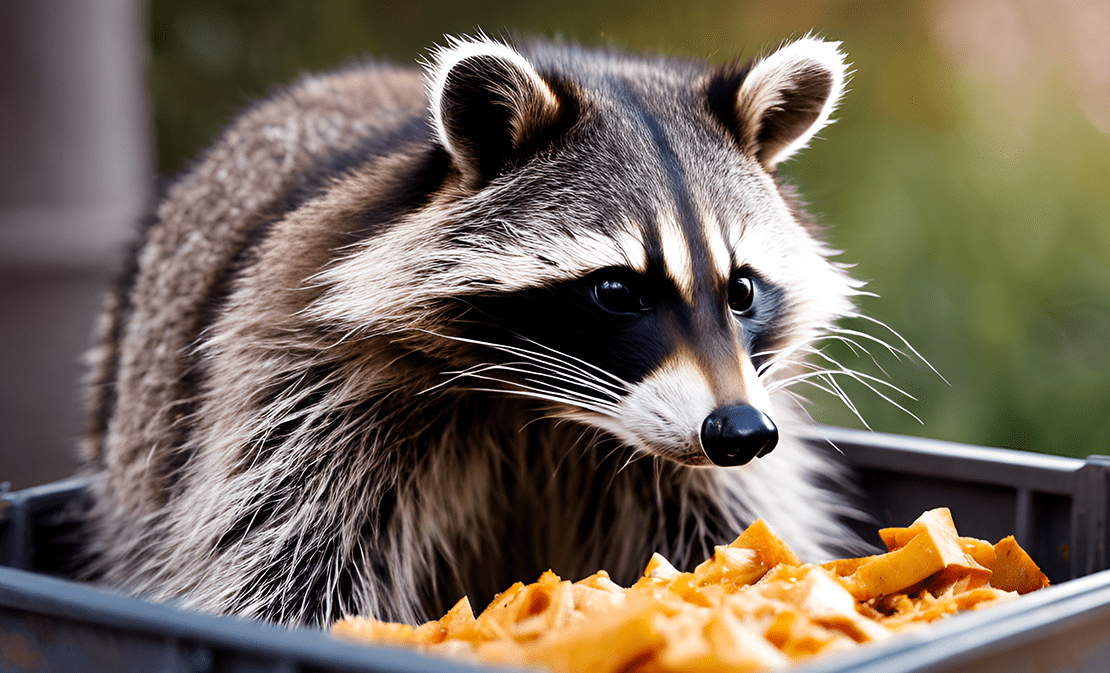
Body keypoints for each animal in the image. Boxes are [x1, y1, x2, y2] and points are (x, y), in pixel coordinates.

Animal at [82, 35, 870, 626]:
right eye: (617, 291)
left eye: (742, 290)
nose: (739, 433)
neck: (545, 406)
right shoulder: (303, 383)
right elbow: (281, 559)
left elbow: (726, 519)